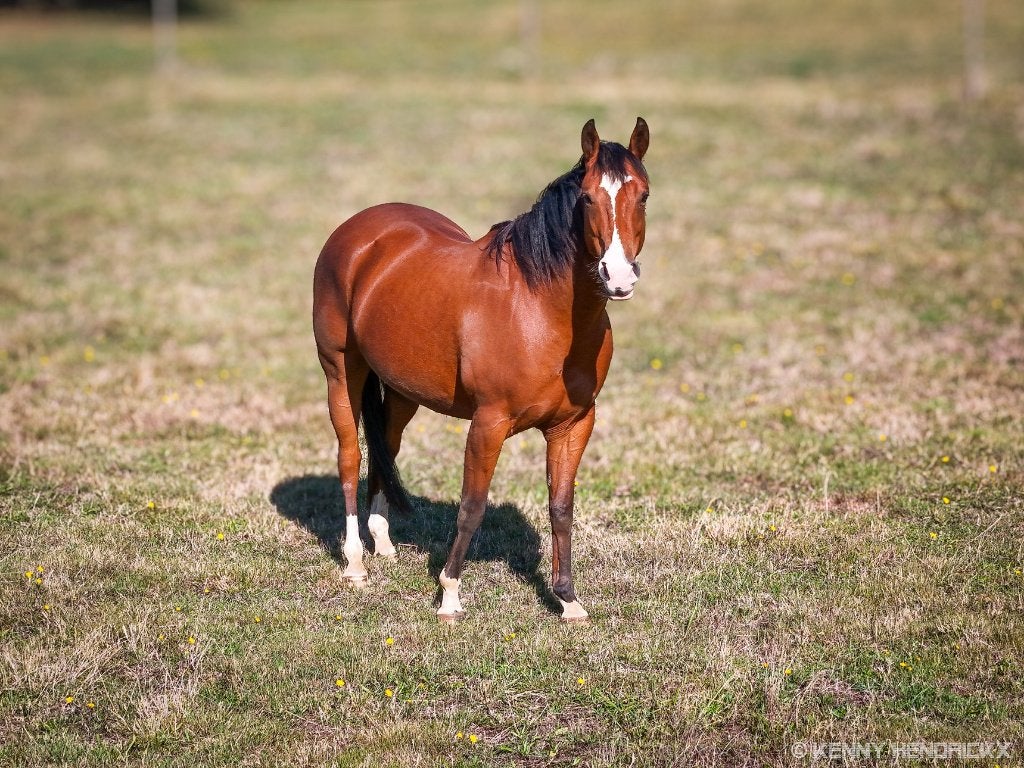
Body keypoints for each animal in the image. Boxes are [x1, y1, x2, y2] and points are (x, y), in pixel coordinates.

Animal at [313, 117, 650, 622]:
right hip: (341, 372)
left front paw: (568, 600)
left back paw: (383, 541)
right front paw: (449, 594)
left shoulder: (574, 424)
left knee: (384, 448)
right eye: (588, 197)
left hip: (402, 391)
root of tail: (357, 232)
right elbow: (472, 506)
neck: (538, 308)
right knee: (350, 455)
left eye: (643, 195)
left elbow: (561, 507)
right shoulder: (488, 423)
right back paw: (355, 562)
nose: (619, 277)